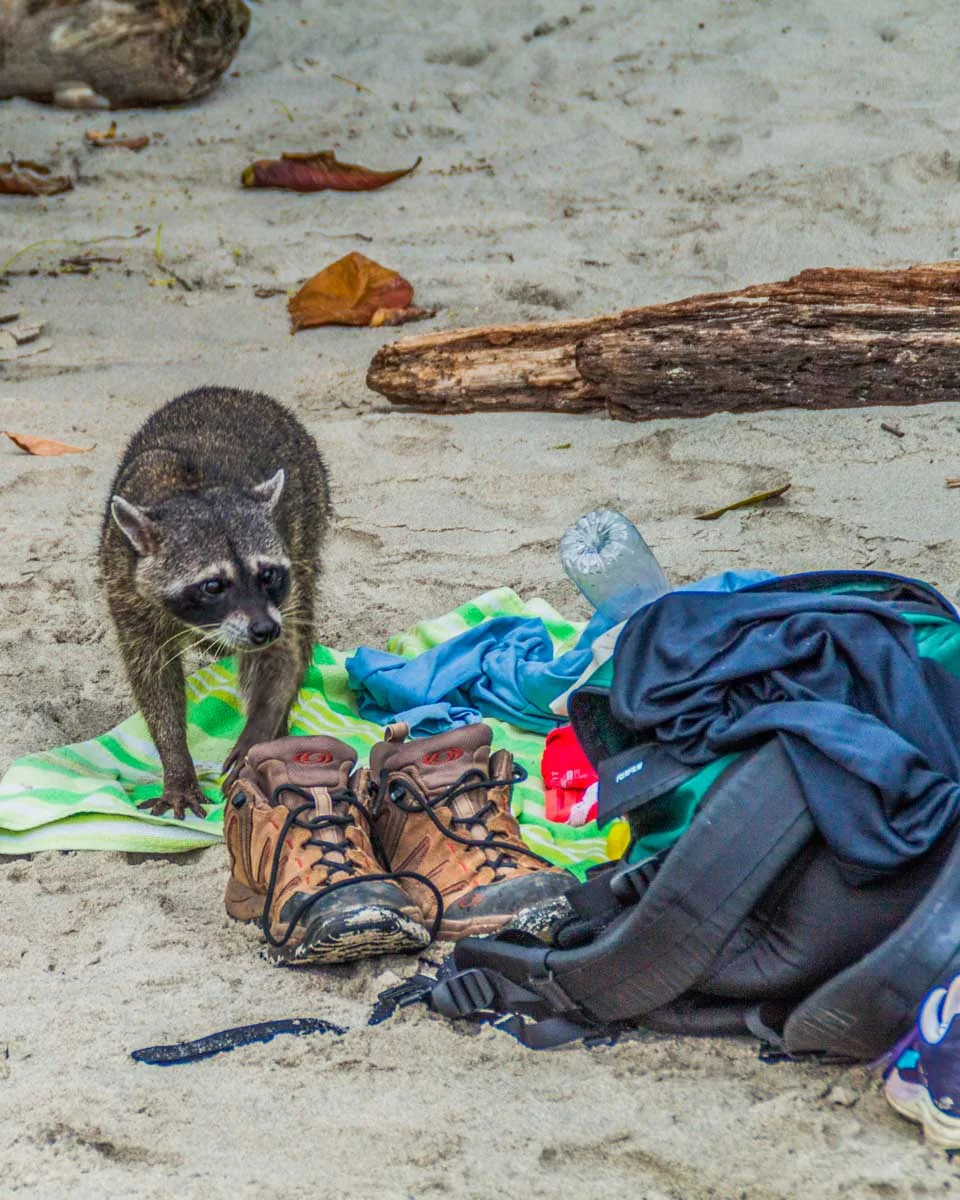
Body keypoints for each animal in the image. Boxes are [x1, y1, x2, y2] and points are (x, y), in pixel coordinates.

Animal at [99, 388, 328, 820]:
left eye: (268, 574)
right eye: (214, 585)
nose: (264, 629)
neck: (194, 489)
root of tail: (235, 392)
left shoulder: (285, 575)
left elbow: (283, 656)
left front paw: (261, 730)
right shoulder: (125, 589)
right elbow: (153, 679)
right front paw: (176, 762)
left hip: (311, 511)